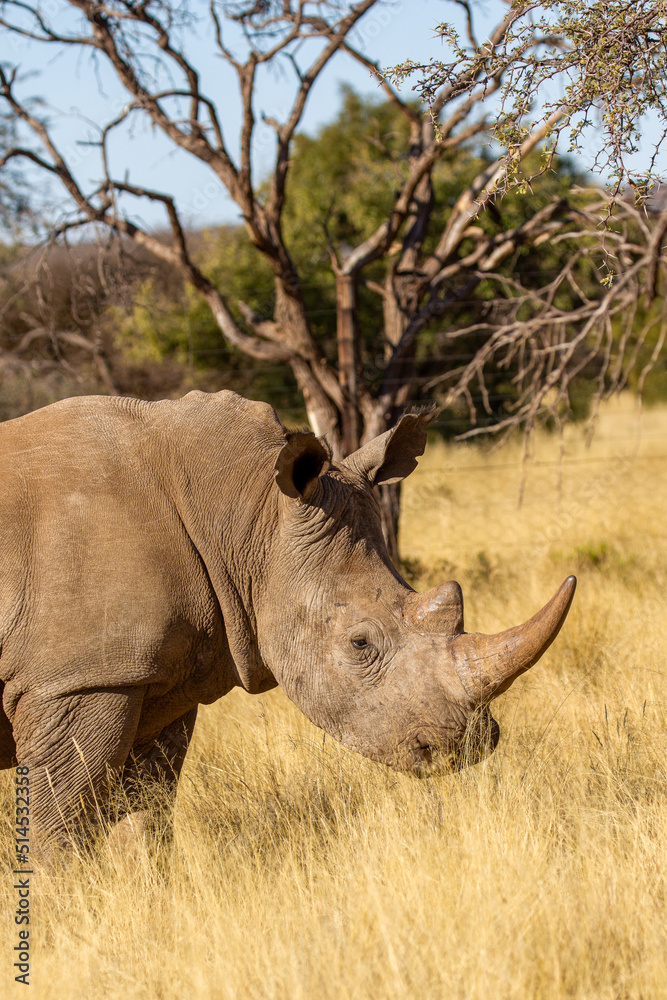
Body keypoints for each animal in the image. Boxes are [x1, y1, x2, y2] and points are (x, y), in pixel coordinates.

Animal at [0, 390, 575, 855]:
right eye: (360, 644)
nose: (469, 745)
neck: (246, 513)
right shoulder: (76, 679)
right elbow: (62, 830)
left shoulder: (153, 679)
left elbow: (144, 816)